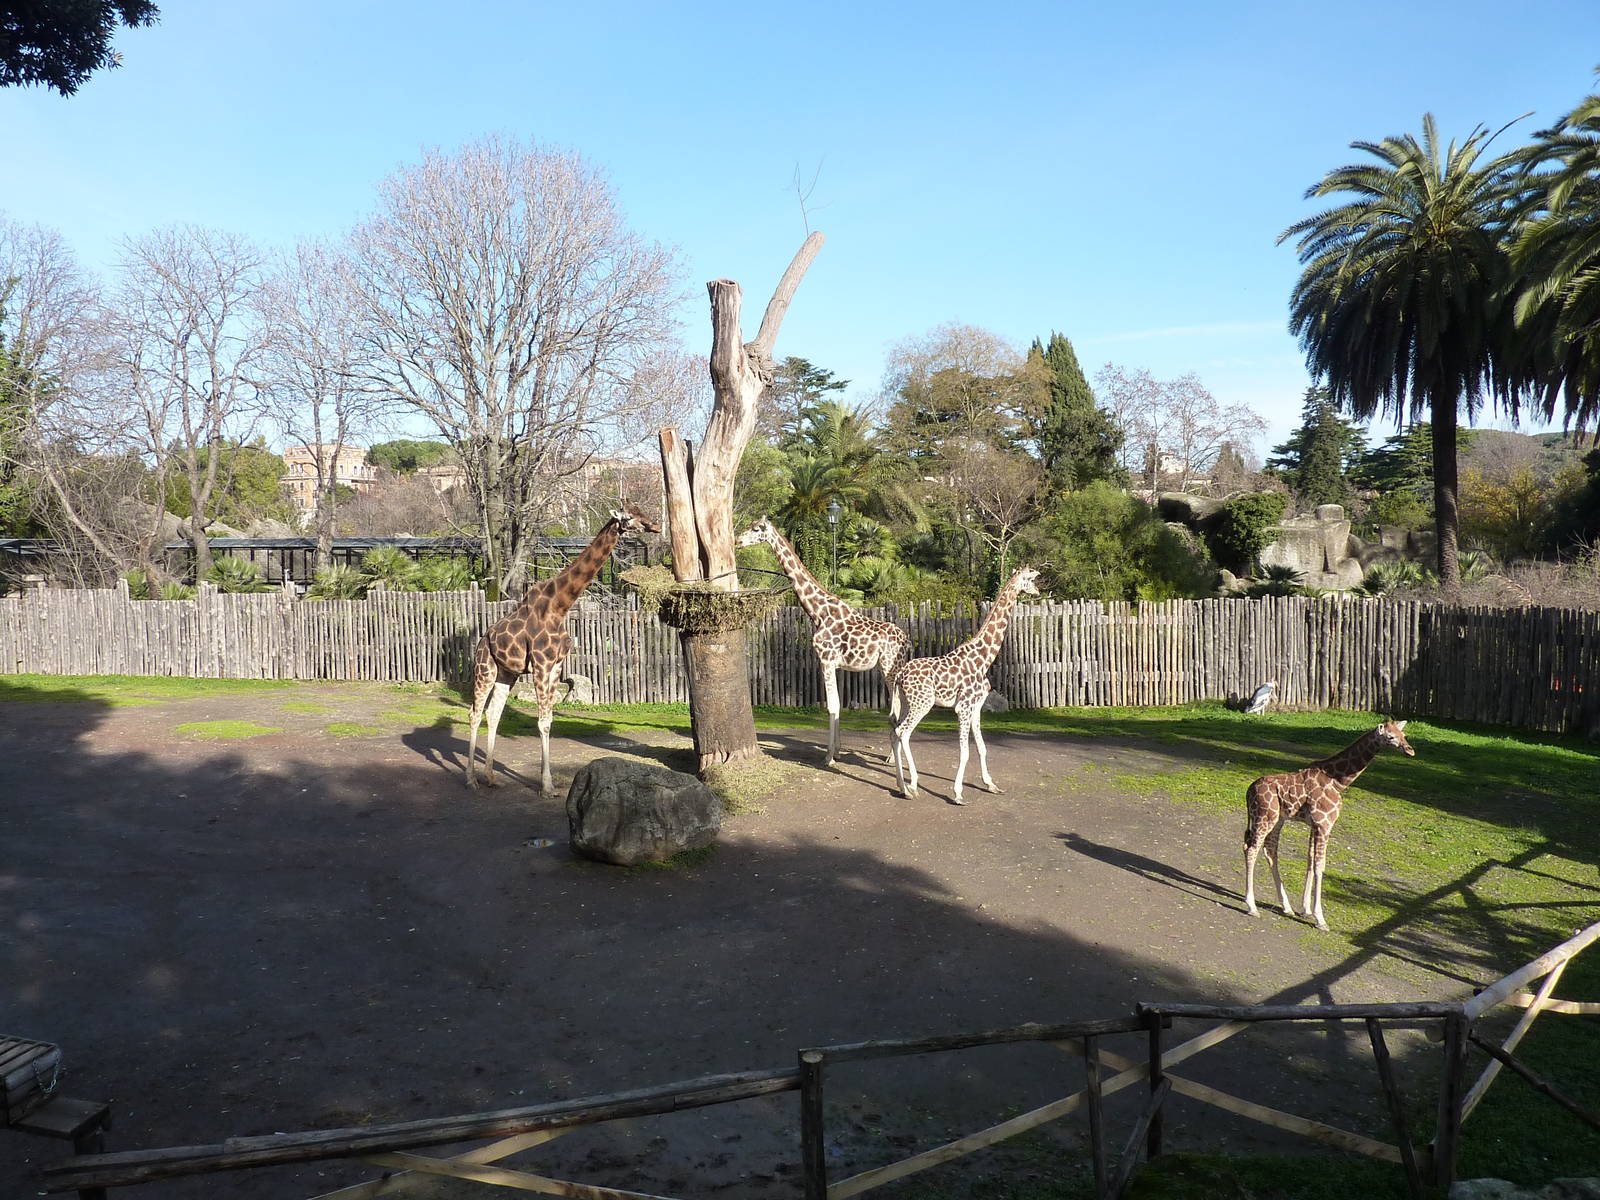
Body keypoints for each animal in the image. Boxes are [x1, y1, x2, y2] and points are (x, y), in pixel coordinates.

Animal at [464, 503, 659, 792]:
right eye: (629, 517)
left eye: (641, 511)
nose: (655, 525)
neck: (561, 605)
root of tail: (482, 639)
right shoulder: (541, 664)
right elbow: (543, 722)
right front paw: (547, 786)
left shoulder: (556, 665)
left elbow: (549, 721)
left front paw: (547, 783)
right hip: (484, 669)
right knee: (474, 713)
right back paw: (471, 779)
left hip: (506, 674)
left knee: (493, 713)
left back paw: (490, 776)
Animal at [736, 516, 911, 766]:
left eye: (756, 528)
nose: (737, 541)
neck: (817, 611)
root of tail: (907, 640)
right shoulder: (834, 664)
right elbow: (836, 705)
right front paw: (836, 751)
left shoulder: (825, 660)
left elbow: (832, 705)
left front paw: (828, 757)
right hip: (888, 668)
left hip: (890, 668)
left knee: (897, 706)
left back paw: (890, 757)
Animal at [889, 565, 1041, 804]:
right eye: (1030, 577)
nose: (1038, 588)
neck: (985, 658)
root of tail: (900, 675)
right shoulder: (963, 707)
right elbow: (965, 751)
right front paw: (958, 793)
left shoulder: (976, 706)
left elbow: (982, 748)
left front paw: (991, 785)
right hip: (923, 703)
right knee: (903, 732)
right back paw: (911, 787)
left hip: (906, 703)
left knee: (894, 732)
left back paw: (901, 785)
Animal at [1243, 719, 1416, 930]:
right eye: (1390, 737)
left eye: (1403, 735)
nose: (1410, 750)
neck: (1338, 781)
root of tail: (1248, 791)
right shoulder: (1324, 823)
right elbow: (1320, 865)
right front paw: (1320, 919)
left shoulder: (1315, 824)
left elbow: (1310, 861)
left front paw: (1306, 910)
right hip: (1264, 817)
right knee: (1251, 849)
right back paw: (1252, 906)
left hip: (1276, 819)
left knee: (1269, 851)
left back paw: (1287, 907)